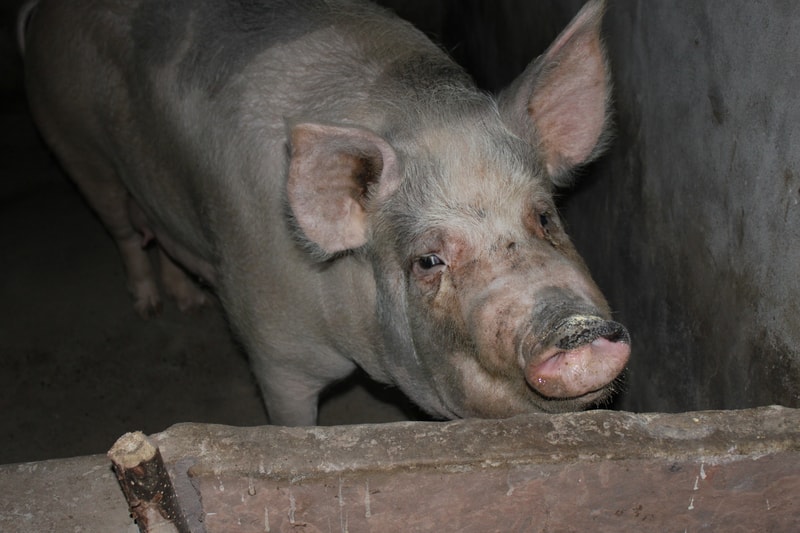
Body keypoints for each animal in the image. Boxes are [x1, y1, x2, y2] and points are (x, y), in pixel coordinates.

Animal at [19, 0, 630, 426]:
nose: (572, 322)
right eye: (428, 261)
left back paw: (189, 303)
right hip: (75, 144)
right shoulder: (273, 347)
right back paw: (149, 307)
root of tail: (39, 14)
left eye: (545, 217)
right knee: (123, 228)